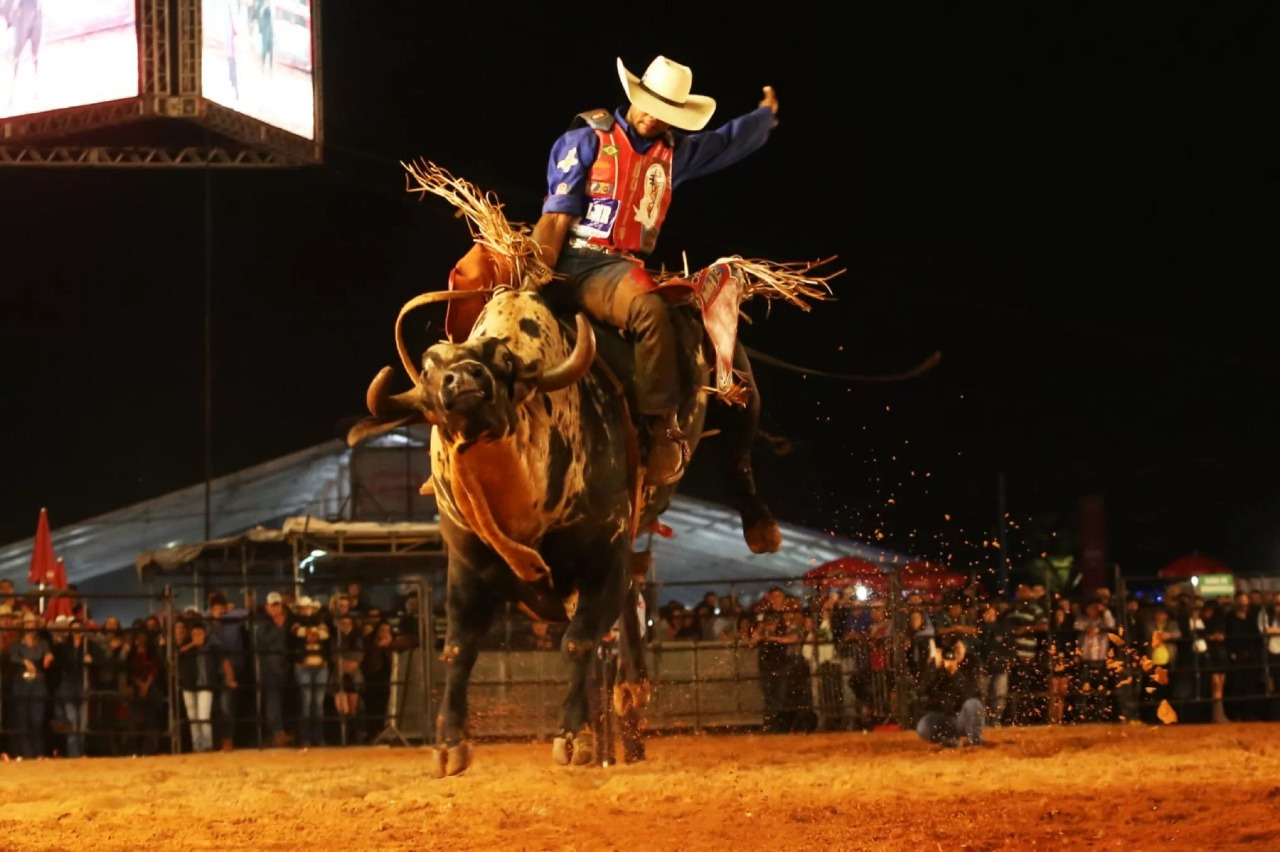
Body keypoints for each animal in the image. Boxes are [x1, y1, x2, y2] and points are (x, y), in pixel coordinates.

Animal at [345, 162, 936, 772]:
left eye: (504, 363)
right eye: (432, 365)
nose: (461, 381)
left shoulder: (601, 553)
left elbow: (579, 641)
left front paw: (574, 736)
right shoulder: (465, 563)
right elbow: (460, 647)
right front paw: (449, 744)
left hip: (737, 382)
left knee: (739, 454)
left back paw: (756, 532)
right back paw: (628, 712)